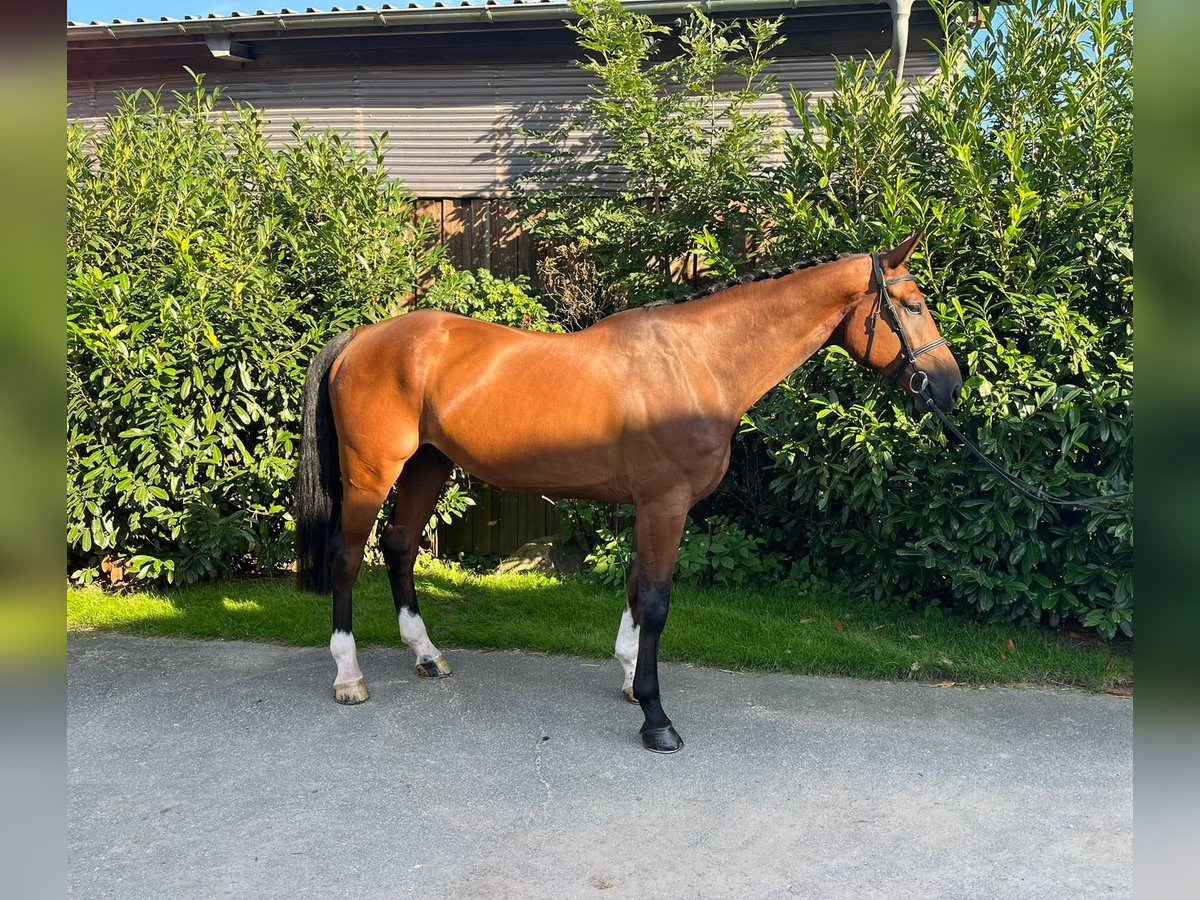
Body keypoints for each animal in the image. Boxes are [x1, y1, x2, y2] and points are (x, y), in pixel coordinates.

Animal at [295, 234, 960, 753]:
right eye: (912, 305)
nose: (951, 387)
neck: (697, 362)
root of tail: (364, 336)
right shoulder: (665, 504)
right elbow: (658, 601)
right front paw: (655, 717)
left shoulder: (652, 505)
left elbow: (638, 589)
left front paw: (627, 675)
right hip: (372, 472)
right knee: (348, 557)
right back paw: (349, 676)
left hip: (428, 465)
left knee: (401, 544)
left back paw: (427, 654)